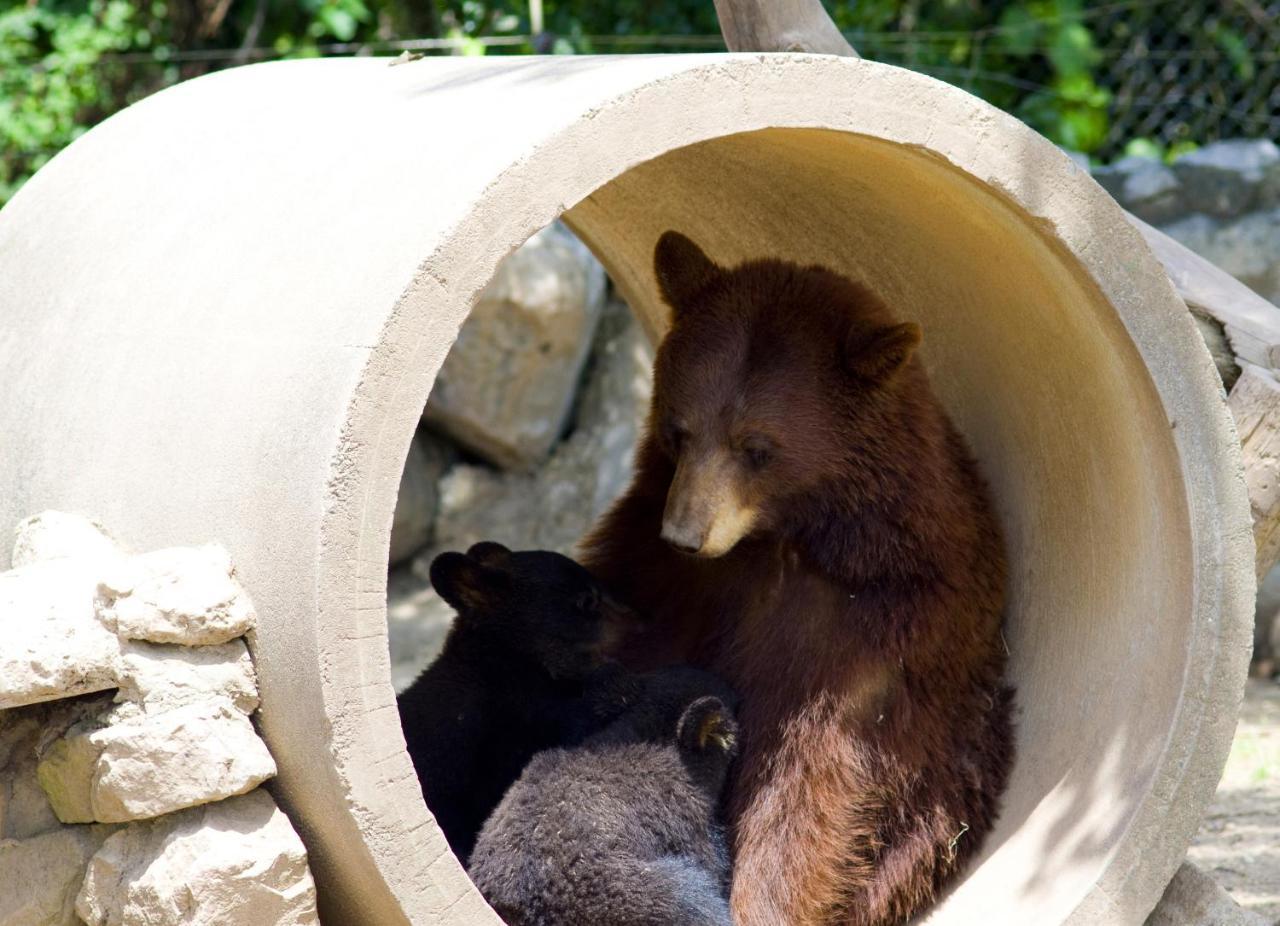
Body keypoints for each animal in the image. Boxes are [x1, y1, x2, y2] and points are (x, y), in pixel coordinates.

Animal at [578, 233, 1008, 926]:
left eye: (757, 447)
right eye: (678, 427)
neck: (780, 543)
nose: (685, 534)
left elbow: (809, 784)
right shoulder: (658, 570)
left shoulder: (865, 635)